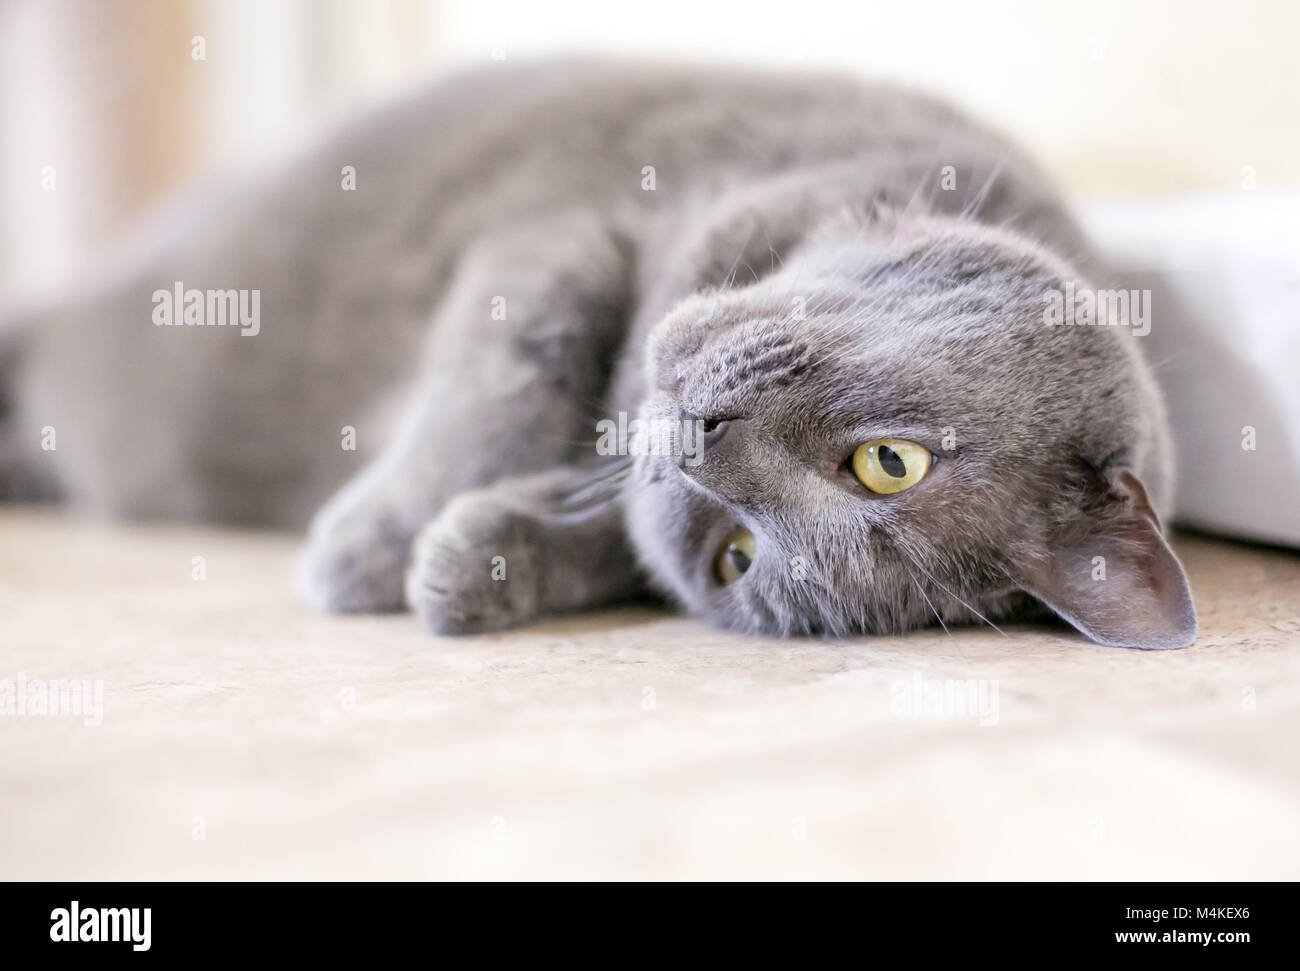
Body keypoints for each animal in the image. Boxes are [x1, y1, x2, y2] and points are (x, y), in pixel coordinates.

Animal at [0, 60, 1196, 652]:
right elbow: (521, 364)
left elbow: (609, 530)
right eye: (890, 461)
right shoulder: (562, 237)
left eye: (734, 557)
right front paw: (374, 545)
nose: (699, 445)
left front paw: (473, 561)